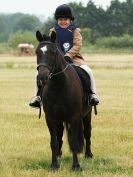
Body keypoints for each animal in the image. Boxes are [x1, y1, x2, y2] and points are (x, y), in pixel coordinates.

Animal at [35, 30, 93, 170]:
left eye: (52, 52)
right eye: (37, 52)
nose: (42, 78)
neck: (59, 86)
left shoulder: (74, 117)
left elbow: (74, 141)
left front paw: (76, 166)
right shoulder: (51, 118)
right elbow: (54, 141)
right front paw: (54, 165)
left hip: (87, 114)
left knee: (87, 132)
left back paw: (88, 154)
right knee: (60, 136)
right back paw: (59, 154)